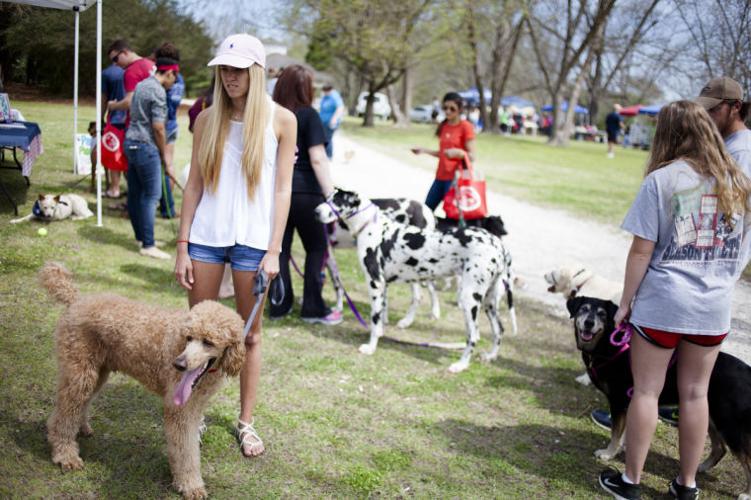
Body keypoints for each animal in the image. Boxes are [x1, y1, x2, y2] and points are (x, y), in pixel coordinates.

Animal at [312, 188, 516, 372]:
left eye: (336, 201)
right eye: (326, 198)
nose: (316, 211)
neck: (372, 226)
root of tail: (500, 246)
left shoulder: (375, 283)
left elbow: (375, 319)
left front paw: (370, 348)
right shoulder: (383, 284)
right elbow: (381, 317)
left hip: (469, 299)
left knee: (473, 335)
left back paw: (461, 365)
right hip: (489, 302)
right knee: (499, 330)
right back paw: (490, 356)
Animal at [568, 294, 751, 498]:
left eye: (602, 314)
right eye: (583, 309)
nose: (589, 323)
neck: (607, 345)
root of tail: (748, 371)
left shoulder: (618, 402)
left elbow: (616, 433)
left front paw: (608, 453)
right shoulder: (630, 403)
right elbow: (625, 433)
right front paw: (622, 449)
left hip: (730, 425)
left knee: (745, 460)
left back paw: (747, 493)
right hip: (711, 418)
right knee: (720, 449)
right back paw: (700, 467)